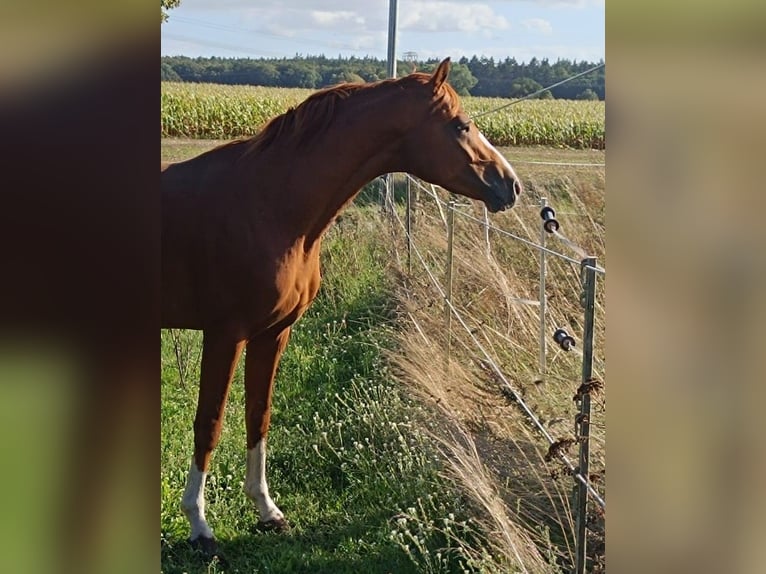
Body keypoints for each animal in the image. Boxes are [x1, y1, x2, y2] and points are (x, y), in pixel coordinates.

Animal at [161, 57, 521, 554]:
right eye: (460, 124)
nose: (511, 185)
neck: (267, 204)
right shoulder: (224, 335)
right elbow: (210, 423)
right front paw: (199, 524)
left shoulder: (273, 333)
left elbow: (259, 414)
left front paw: (267, 511)